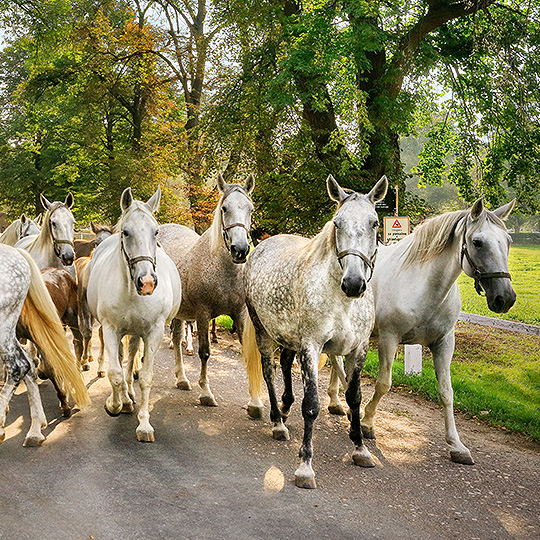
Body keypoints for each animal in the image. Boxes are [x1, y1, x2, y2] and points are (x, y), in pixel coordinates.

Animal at [88, 188, 181, 440]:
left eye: (156, 231)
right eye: (126, 232)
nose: (147, 282)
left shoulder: (153, 332)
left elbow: (146, 377)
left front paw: (144, 424)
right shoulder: (110, 329)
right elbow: (115, 373)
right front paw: (114, 405)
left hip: (137, 332)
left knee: (130, 360)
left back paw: (130, 396)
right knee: (122, 360)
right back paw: (125, 400)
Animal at [156, 173, 264, 414]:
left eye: (251, 208)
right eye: (224, 208)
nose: (240, 249)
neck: (222, 268)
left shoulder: (239, 313)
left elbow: (247, 353)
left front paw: (255, 402)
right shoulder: (203, 314)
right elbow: (204, 352)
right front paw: (206, 393)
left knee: (176, 338)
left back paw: (182, 379)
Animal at [243, 175, 386, 488]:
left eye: (374, 223)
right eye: (337, 223)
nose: (354, 283)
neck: (342, 300)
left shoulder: (358, 349)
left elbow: (354, 398)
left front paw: (360, 448)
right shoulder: (311, 347)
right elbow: (311, 405)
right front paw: (305, 465)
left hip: (287, 336)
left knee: (285, 362)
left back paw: (285, 408)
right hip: (263, 331)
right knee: (269, 370)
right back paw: (277, 421)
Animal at [326, 197, 516, 464]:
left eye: (508, 241)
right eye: (477, 242)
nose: (505, 298)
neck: (422, 284)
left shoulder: (444, 343)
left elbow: (447, 392)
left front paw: (457, 445)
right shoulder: (389, 339)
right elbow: (383, 384)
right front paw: (367, 421)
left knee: (336, 361)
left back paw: (336, 402)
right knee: (336, 361)